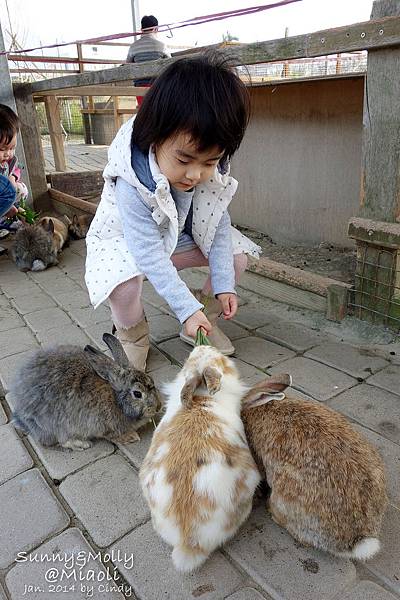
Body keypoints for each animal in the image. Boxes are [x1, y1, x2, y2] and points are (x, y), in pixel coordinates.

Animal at [10, 332, 161, 450]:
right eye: (137, 394)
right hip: (56, 425)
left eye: (152, 380)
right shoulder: (104, 427)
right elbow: (112, 436)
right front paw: (132, 437)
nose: (158, 407)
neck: (117, 400)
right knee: (59, 440)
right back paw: (82, 444)